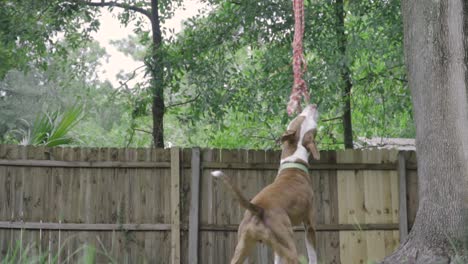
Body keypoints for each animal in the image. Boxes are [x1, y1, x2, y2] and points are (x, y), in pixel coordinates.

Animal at [213, 104, 320, 264]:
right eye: (303, 118)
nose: (313, 105)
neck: (293, 161)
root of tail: (258, 209)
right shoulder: (310, 224)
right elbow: (313, 255)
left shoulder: (278, 249)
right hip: (289, 245)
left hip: (244, 247)